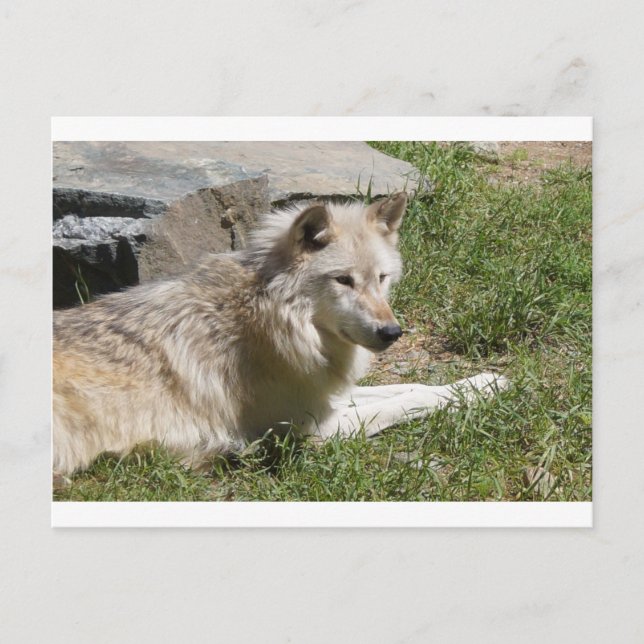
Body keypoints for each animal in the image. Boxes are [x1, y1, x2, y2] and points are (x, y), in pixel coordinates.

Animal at [53, 192, 507, 475]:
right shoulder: (315, 432)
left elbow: (411, 386)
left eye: (381, 278)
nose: (392, 332)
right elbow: (405, 402)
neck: (268, 318)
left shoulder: (322, 398)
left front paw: (485, 383)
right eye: (343, 280)